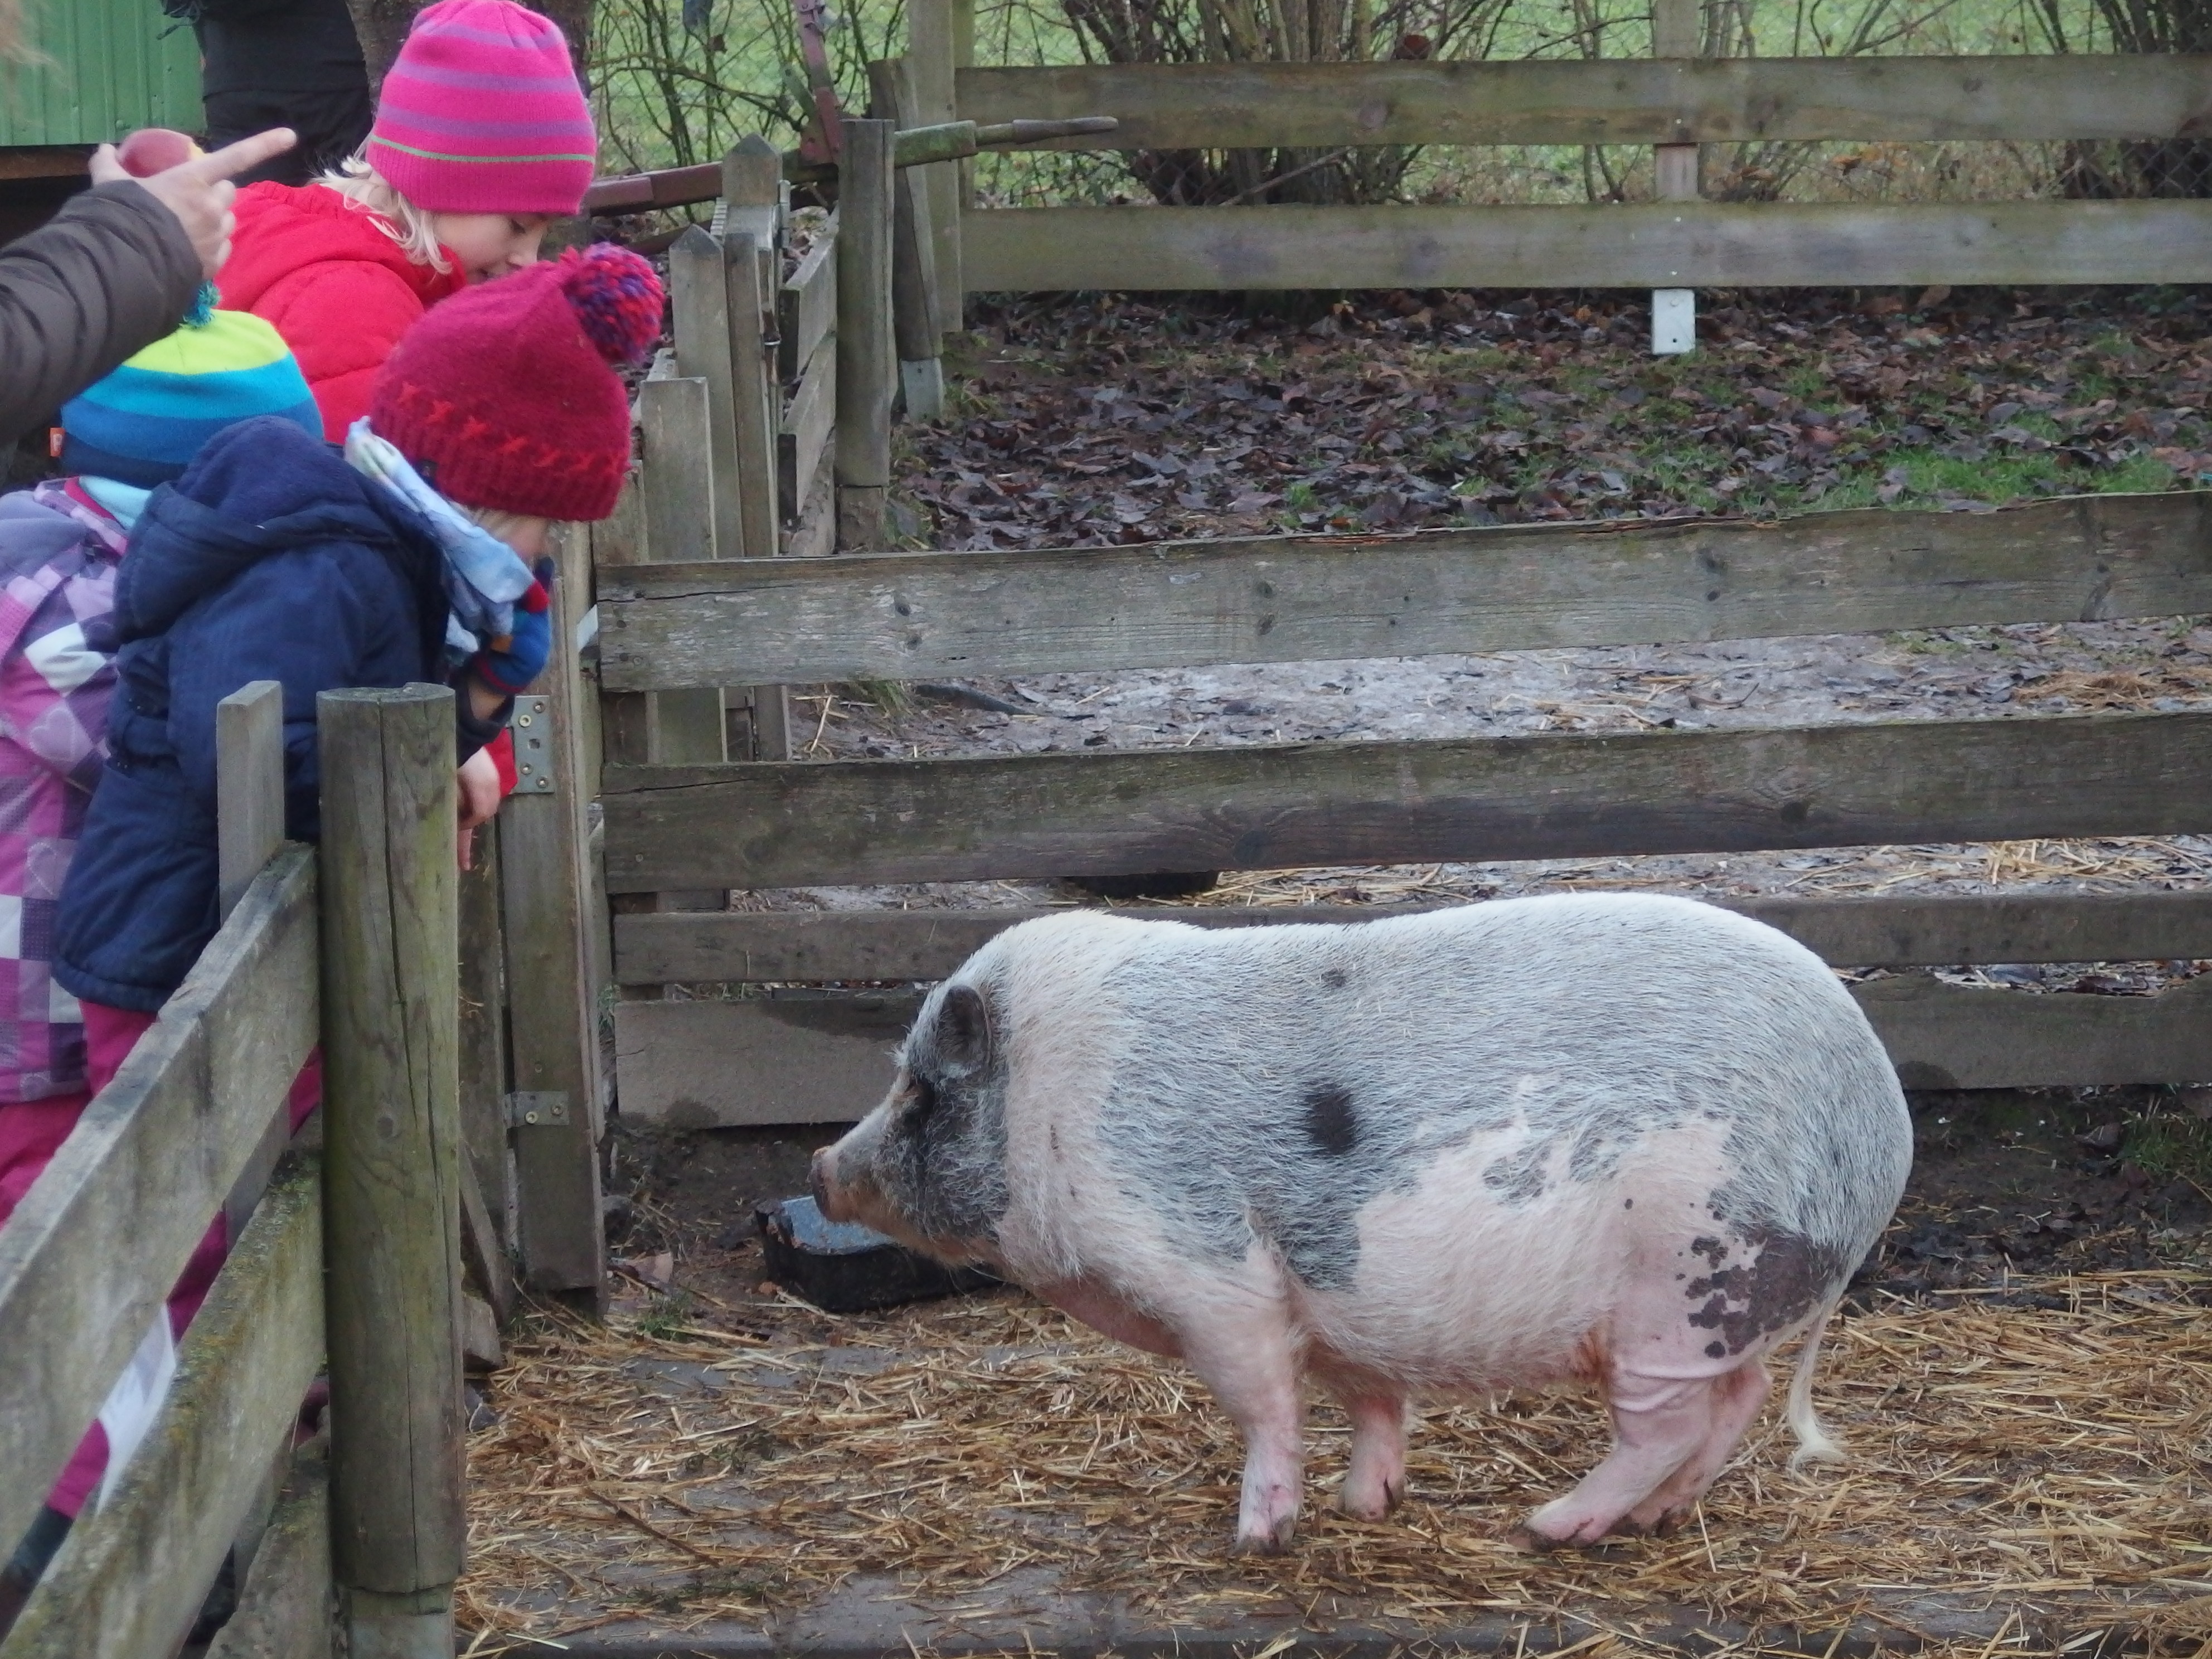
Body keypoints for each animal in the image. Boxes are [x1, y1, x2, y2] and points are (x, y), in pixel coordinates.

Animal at [814, 898, 1902, 1557]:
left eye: (920, 1093)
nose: (823, 1168)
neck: (1049, 1101)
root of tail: (1879, 1131)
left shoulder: (1210, 1271)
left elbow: (1262, 1406)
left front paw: (1258, 1539)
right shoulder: (1334, 1295)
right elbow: (1368, 1399)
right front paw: (1366, 1505)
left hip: (1685, 1276)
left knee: (1669, 1421)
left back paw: (1548, 1526)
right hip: (1726, 1296)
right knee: (1736, 1399)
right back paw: (1660, 1519)